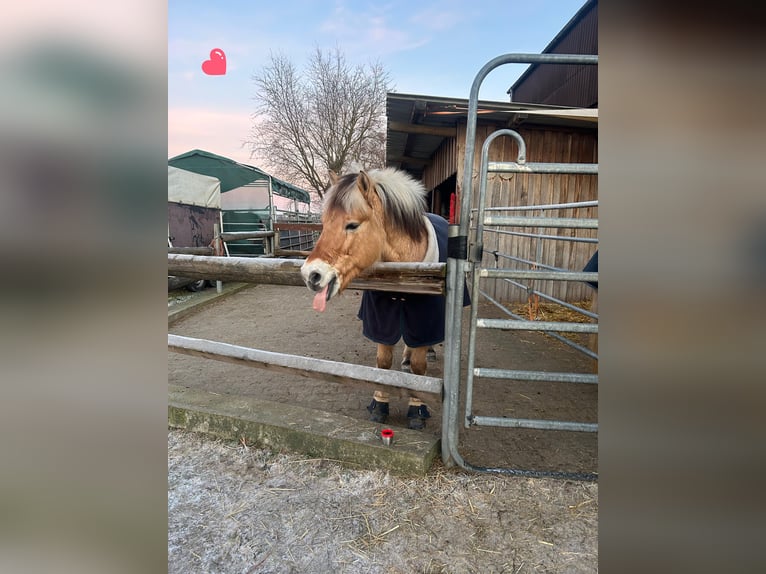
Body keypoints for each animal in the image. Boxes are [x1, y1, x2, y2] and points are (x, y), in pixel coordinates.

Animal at [301, 167, 466, 430]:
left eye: (352, 225)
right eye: (324, 224)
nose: (311, 275)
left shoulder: (423, 322)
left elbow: (419, 368)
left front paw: (417, 409)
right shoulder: (382, 322)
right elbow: (384, 363)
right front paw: (379, 404)